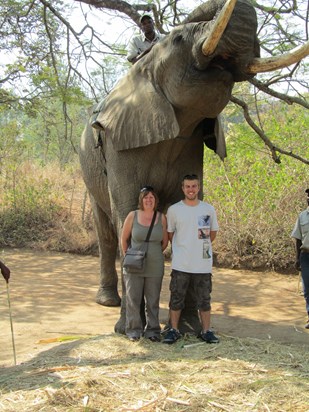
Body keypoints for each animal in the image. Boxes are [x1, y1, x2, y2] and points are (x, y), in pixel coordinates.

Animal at [79, 0, 308, 334]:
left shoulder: (192, 140)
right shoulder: (119, 142)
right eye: (177, 40)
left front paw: (187, 328)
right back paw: (108, 302)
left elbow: (181, 207)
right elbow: (127, 214)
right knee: (107, 231)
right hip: (88, 168)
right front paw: (127, 330)